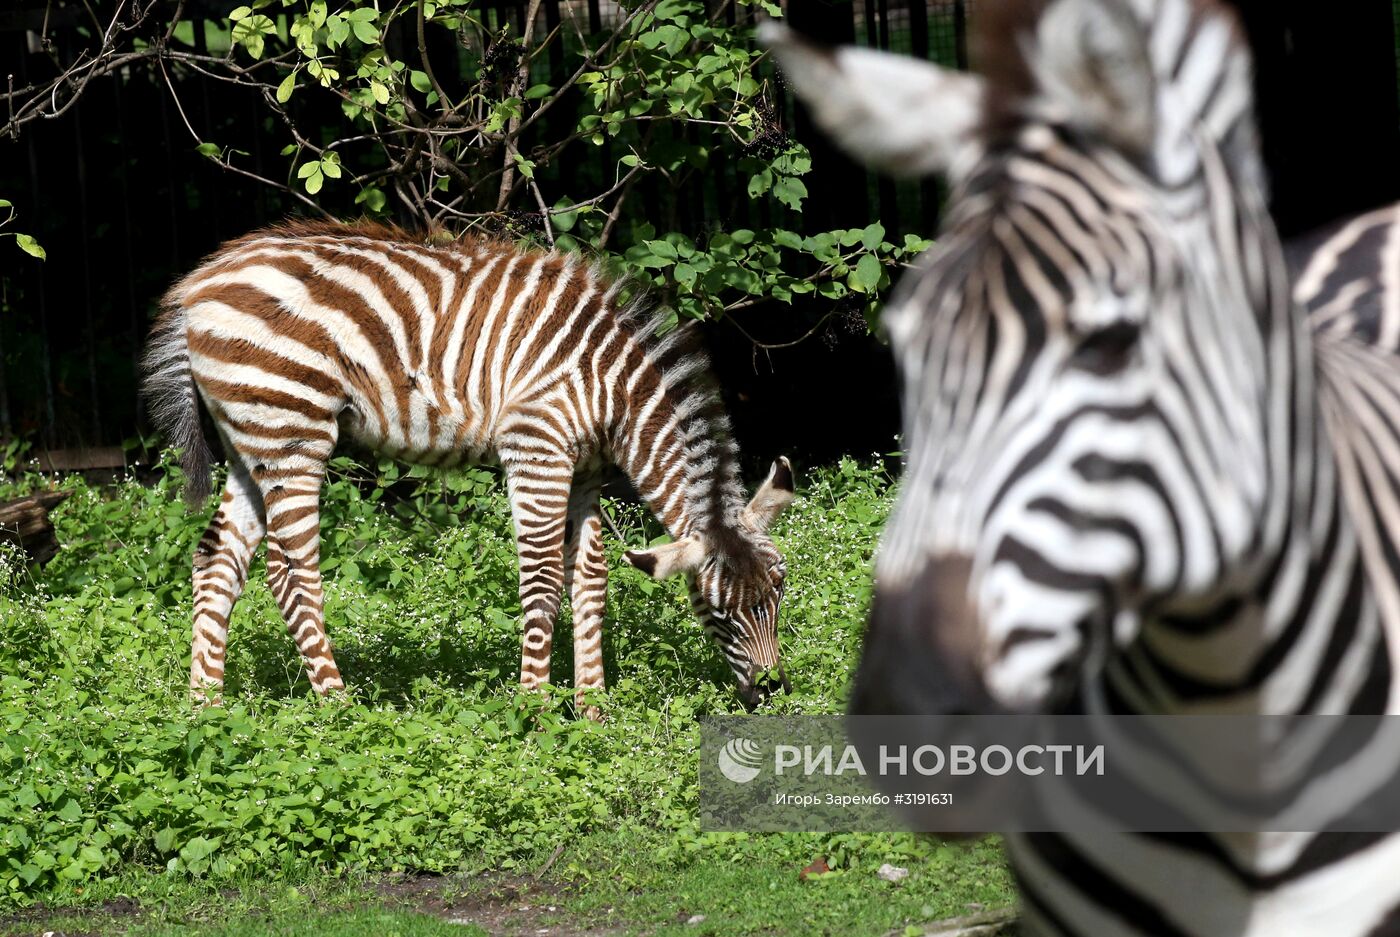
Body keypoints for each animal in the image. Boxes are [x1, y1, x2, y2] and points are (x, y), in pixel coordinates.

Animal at [147, 222, 800, 711]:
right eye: (720, 610)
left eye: (780, 589)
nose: (773, 692)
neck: (612, 390)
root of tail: (198, 284)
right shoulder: (536, 445)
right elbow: (542, 577)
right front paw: (535, 710)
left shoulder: (585, 470)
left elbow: (590, 577)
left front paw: (592, 709)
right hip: (292, 430)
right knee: (292, 573)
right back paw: (340, 708)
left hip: (250, 439)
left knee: (216, 560)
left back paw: (205, 709)